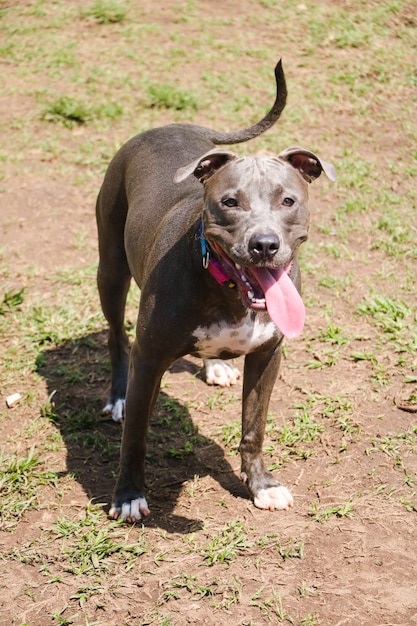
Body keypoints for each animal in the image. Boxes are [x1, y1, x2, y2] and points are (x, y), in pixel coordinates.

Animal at [95, 58, 334, 520]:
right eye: (230, 202)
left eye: (288, 201)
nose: (264, 245)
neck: (228, 290)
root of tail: (170, 125)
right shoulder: (149, 359)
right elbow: (136, 435)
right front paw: (128, 495)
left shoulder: (267, 356)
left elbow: (253, 427)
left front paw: (261, 485)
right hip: (111, 271)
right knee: (116, 335)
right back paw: (116, 397)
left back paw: (215, 366)